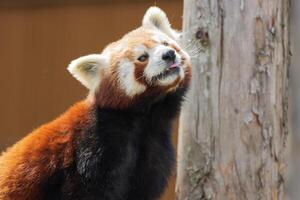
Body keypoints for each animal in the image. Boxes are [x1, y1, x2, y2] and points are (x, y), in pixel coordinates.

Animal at [0, 6, 191, 200]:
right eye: (142, 57)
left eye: (165, 43)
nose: (169, 54)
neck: (145, 121)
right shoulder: (91, 150)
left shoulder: (155, 152)